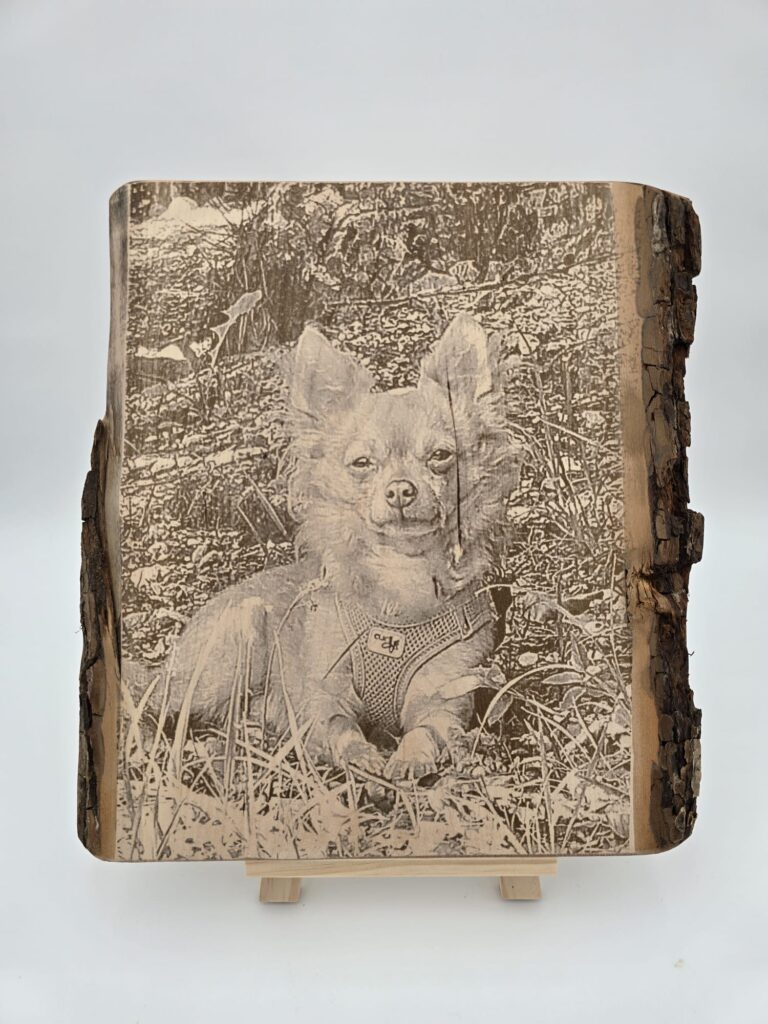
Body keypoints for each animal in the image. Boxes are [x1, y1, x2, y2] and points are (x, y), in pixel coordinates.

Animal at [127, 312, 514, 786]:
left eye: (440, 456)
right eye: (362, 464)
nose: (400, 490)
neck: (400, 578)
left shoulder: (443, 702)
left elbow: (426, 732)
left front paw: (407, 759)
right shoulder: (320, 698)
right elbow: (338, 727)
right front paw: (363, 760)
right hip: (235, 643)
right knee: (161, 707)